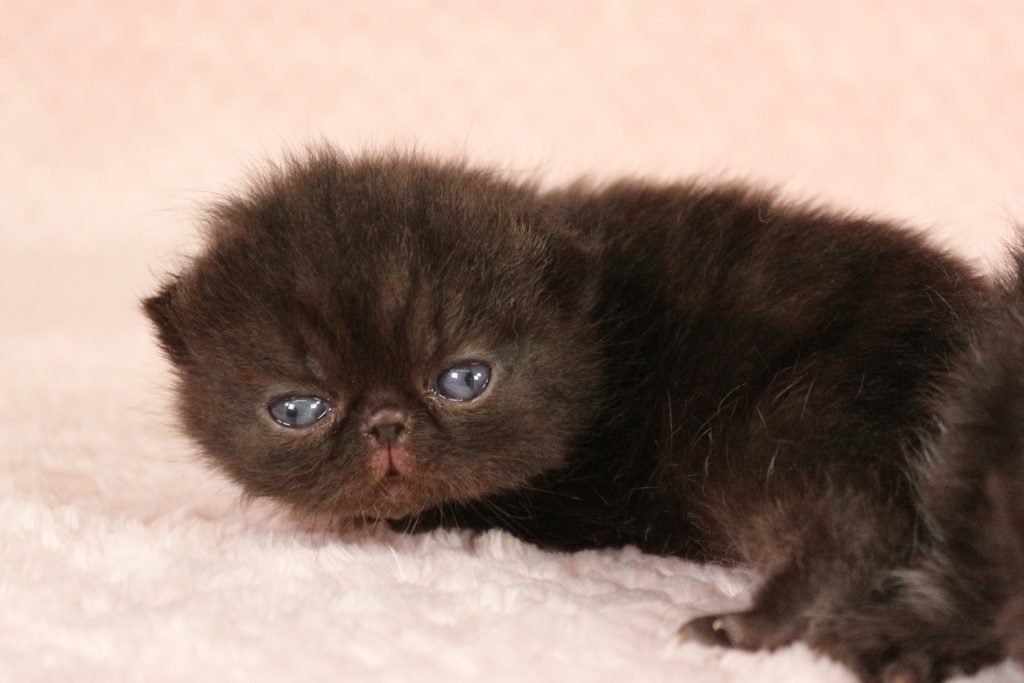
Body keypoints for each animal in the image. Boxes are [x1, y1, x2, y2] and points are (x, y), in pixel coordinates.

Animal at [144, 146, 1020, 682]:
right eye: (297, 408)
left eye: (464, 378)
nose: (386, 422)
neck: (608, 329)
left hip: (795, 417)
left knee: (857, 522)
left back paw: (756, 627)